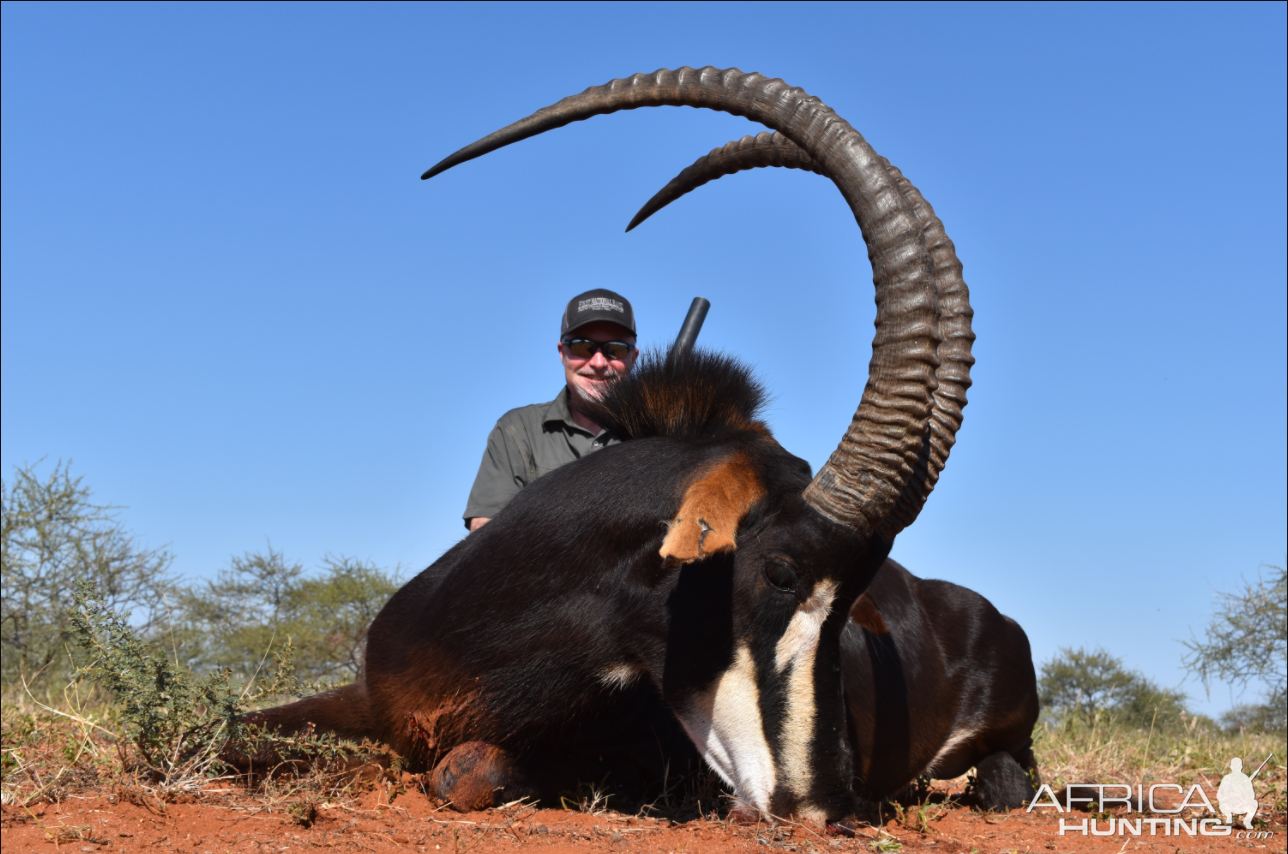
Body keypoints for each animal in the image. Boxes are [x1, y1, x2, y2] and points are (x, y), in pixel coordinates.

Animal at [251, 65, 1035, 824]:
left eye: (853, 599)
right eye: (781, 572)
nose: (828, 804)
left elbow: (471, 768)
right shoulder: (365, 698)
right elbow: (245, 732)